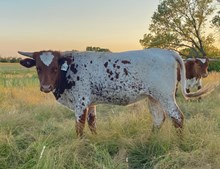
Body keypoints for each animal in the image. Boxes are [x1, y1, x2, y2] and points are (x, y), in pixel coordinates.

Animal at [18, 47, 215, 136]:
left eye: (54, 68)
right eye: (38, 68)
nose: (46, 87)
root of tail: (168, 52)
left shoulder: (81, 103)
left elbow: (79, 128)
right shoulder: (91, 103)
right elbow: (92, 123)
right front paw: (95, 140)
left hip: (165, 96)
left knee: (177, 118)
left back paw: (179, 142)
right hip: (153, 97)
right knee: (159, 119)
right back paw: (150, 139)